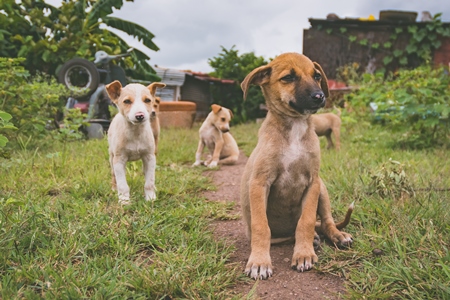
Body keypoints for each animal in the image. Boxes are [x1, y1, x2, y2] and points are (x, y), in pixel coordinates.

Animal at [241, 52, 354, 280]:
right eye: (288, 78)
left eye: (317, 76)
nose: (320, 96)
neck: (295, 127)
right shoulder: (259, 183)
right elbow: (261, 226)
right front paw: (259, 261)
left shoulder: (312, 183)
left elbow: (307, 221)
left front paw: (303, 254)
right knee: (283, 235)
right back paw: (314, 239)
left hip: (323, 189)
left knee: (326, 222)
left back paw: (336, 236)